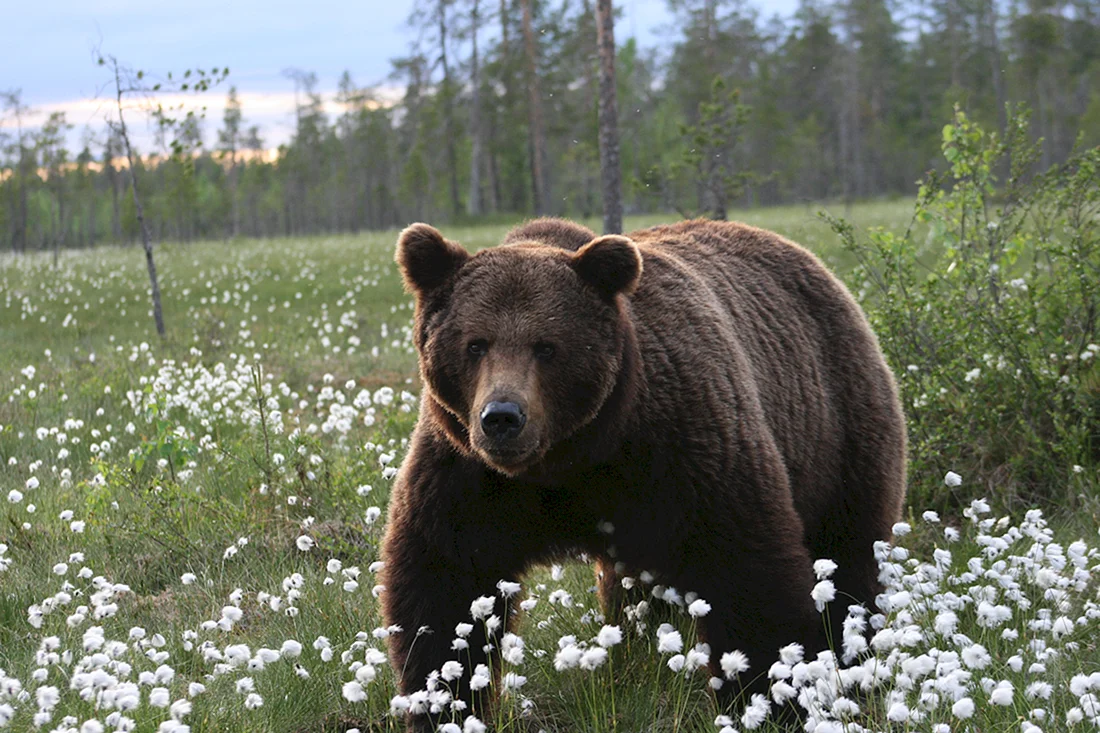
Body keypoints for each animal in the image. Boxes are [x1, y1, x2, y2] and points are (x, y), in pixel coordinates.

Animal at [380, 217, 907, 729]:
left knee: (847, 555)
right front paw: (441, 702)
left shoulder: (683, 447)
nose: (503, 418)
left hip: (837, 429)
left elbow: (745, 567)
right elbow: (443, 584)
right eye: (475, 344)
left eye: (546, 347)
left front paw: (774, 700)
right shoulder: (466, 475)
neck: (569, 459)